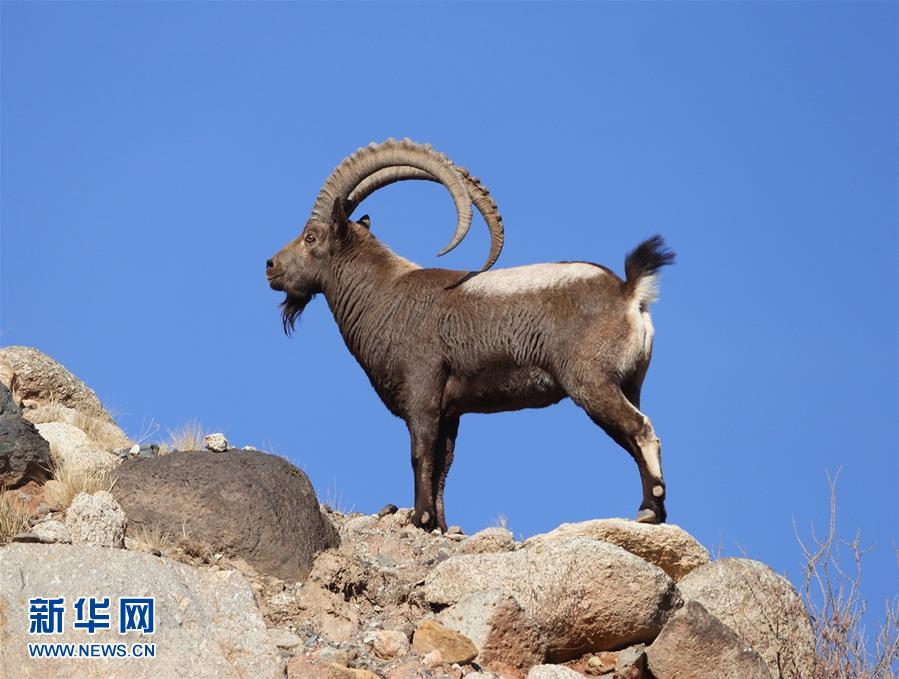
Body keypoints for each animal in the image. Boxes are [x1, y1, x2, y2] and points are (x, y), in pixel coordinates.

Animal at [268, 138, 676, 532]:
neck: (386, 295)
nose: (270, 266)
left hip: (592, 383)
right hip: (627, 385)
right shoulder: (451, 411)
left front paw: (420, 519)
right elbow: (444, 464)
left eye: (311, 237)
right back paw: (650, 509)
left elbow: (421, 454)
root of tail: (629, 292)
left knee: (641, 429)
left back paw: (650, 508)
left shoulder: (422, 394)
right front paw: (440, 525)